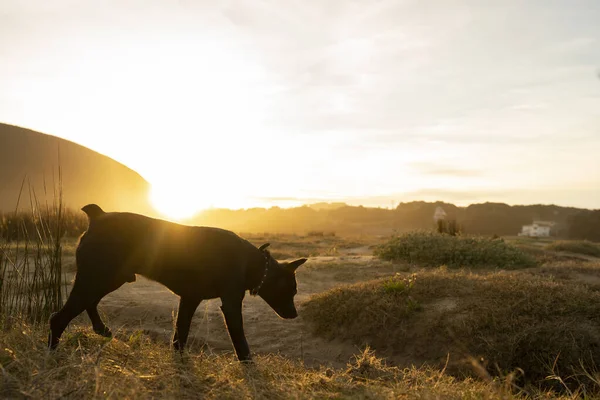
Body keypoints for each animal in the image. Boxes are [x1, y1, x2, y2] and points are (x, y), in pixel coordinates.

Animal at [49, 205, 308, 360]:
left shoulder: (190, 299)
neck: (252, 261)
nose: (295, 314)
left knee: (89, 303)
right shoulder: (231, 305)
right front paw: (248, 364)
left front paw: (179, 361)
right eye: (292, 290)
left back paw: (101, 329)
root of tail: (98, 216)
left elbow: (180, 334)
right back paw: (52, 353)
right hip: (99, 277)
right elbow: (240, 341)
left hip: (107, 279)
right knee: (60, 317)